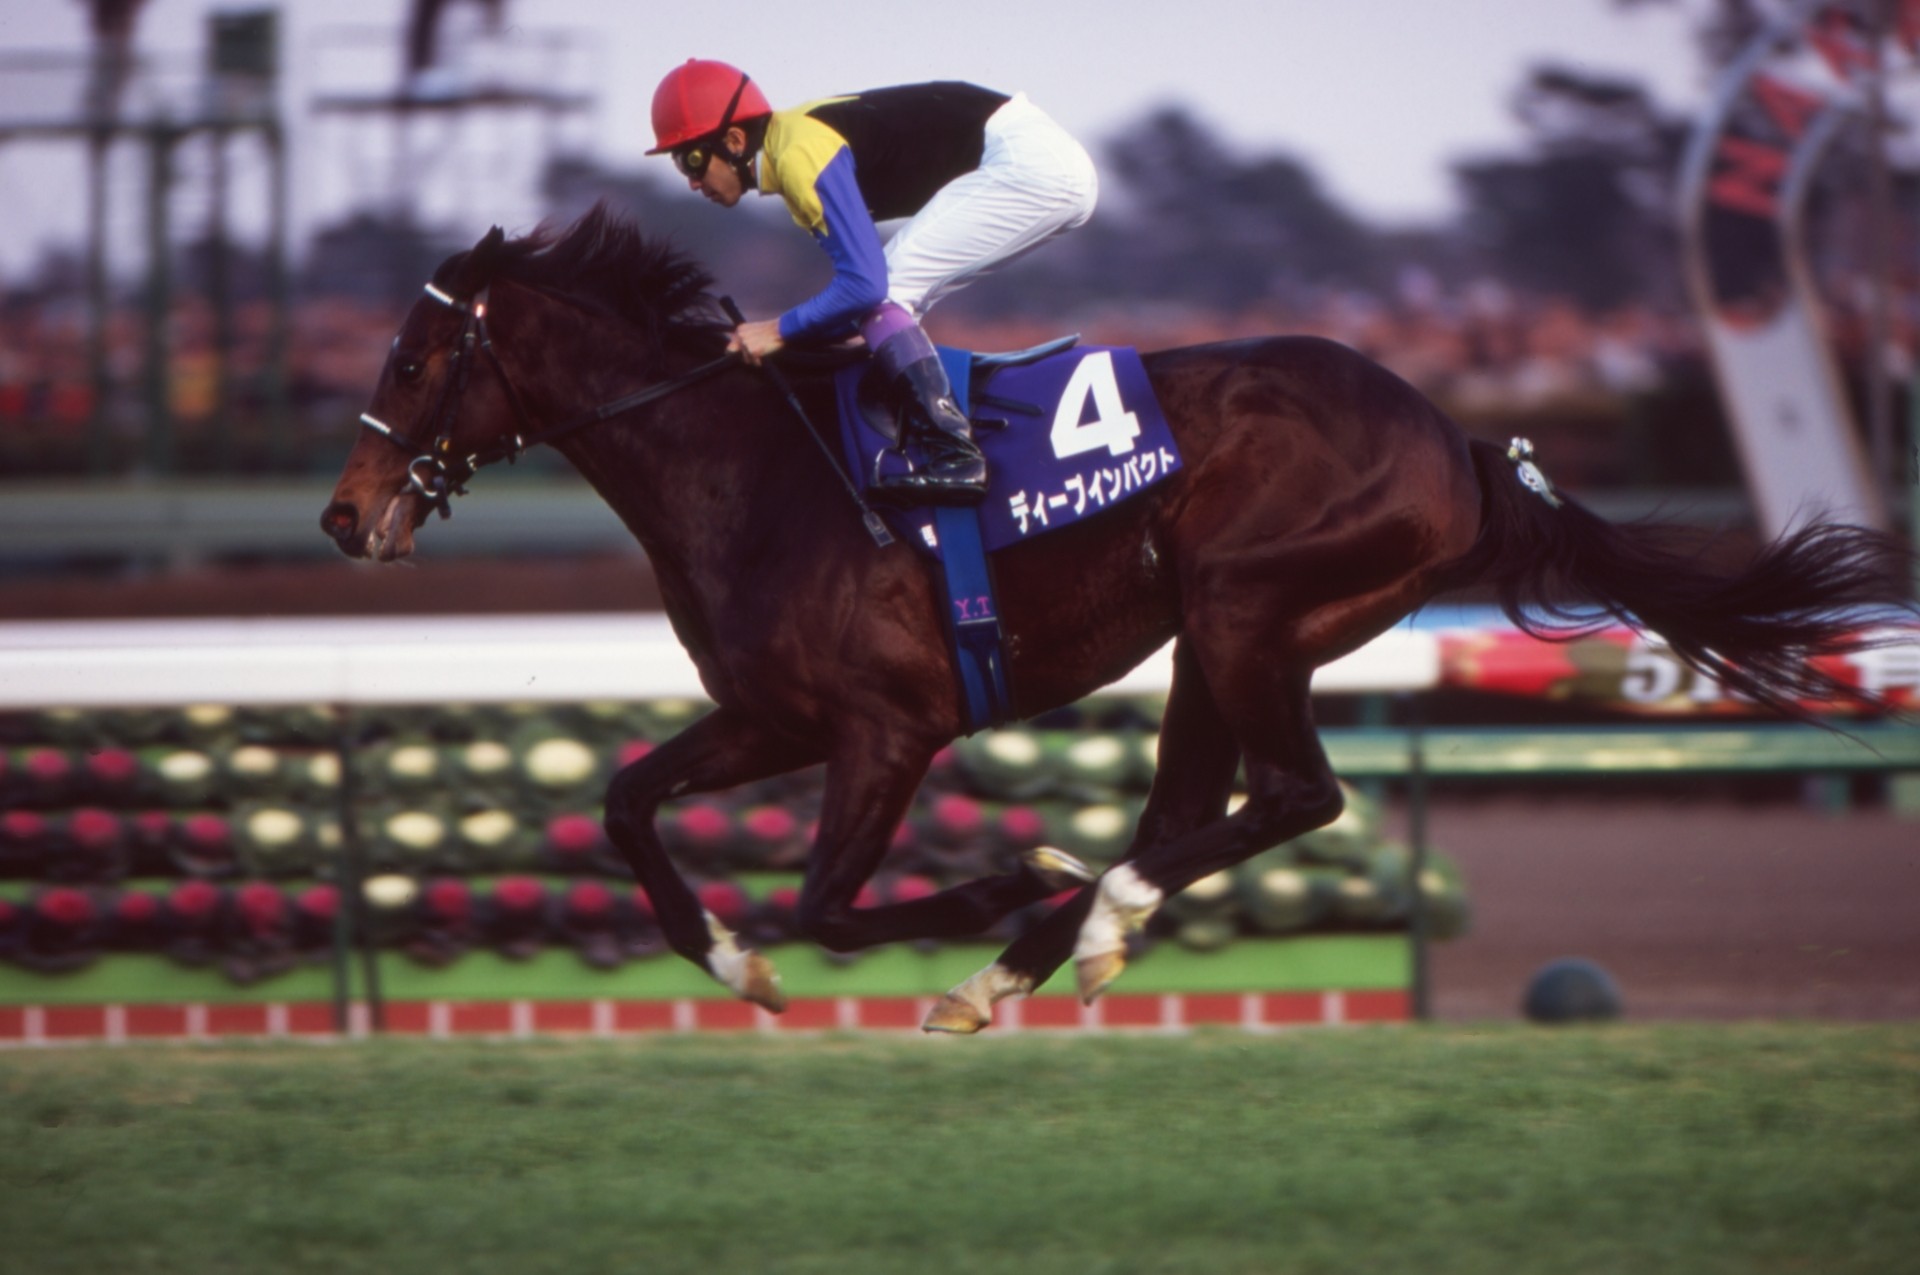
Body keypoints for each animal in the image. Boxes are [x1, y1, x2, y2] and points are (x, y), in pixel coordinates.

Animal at [321, 205, 1907, 1033]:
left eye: (411, 354)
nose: (341, 518)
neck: (754, 467)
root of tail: (1454, 437)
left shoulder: (889, 726)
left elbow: (827, 901)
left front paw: (1003, 877)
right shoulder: (774, 713)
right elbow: (624, 798)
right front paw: (729, 957)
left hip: (1249, 602)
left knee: (1296, 794)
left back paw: (1079, 915)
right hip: (1214, 635)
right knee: (1206, 801)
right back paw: (1055, 941)